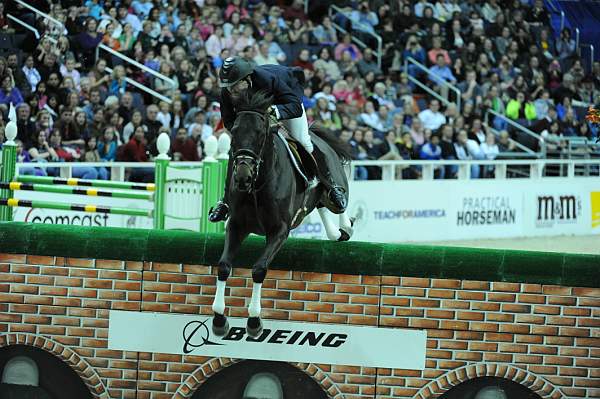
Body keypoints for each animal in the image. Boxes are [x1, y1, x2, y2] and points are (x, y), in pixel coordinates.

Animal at [211, 92, 354, 340]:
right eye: (234, 132)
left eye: (261, 134)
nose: (242, 178)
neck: (258, 184)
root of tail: (319, 136)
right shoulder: (237, 226)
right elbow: (223, 266)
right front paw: (219, 319)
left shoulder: (279, 230)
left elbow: (259, 269)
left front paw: (254, 321)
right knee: (321, 208)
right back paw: (338, 233)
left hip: (331, 177)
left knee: (337, 200)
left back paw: (345, 223)